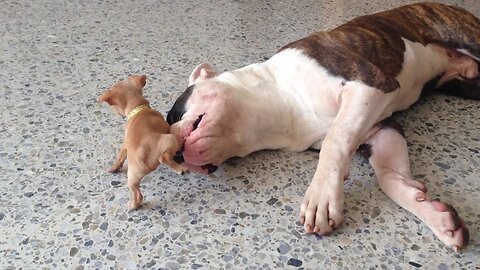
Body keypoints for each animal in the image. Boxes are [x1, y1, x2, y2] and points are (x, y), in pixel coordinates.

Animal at [98, 75, 187, 210]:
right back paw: (180, 168)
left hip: (132, 176)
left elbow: (120, 156)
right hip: (170, 138)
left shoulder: (125, 145)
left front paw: (114, 168)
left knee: (137, 194)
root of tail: (143, 157)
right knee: (164, 158)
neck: (139, 109)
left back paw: (132, 205)